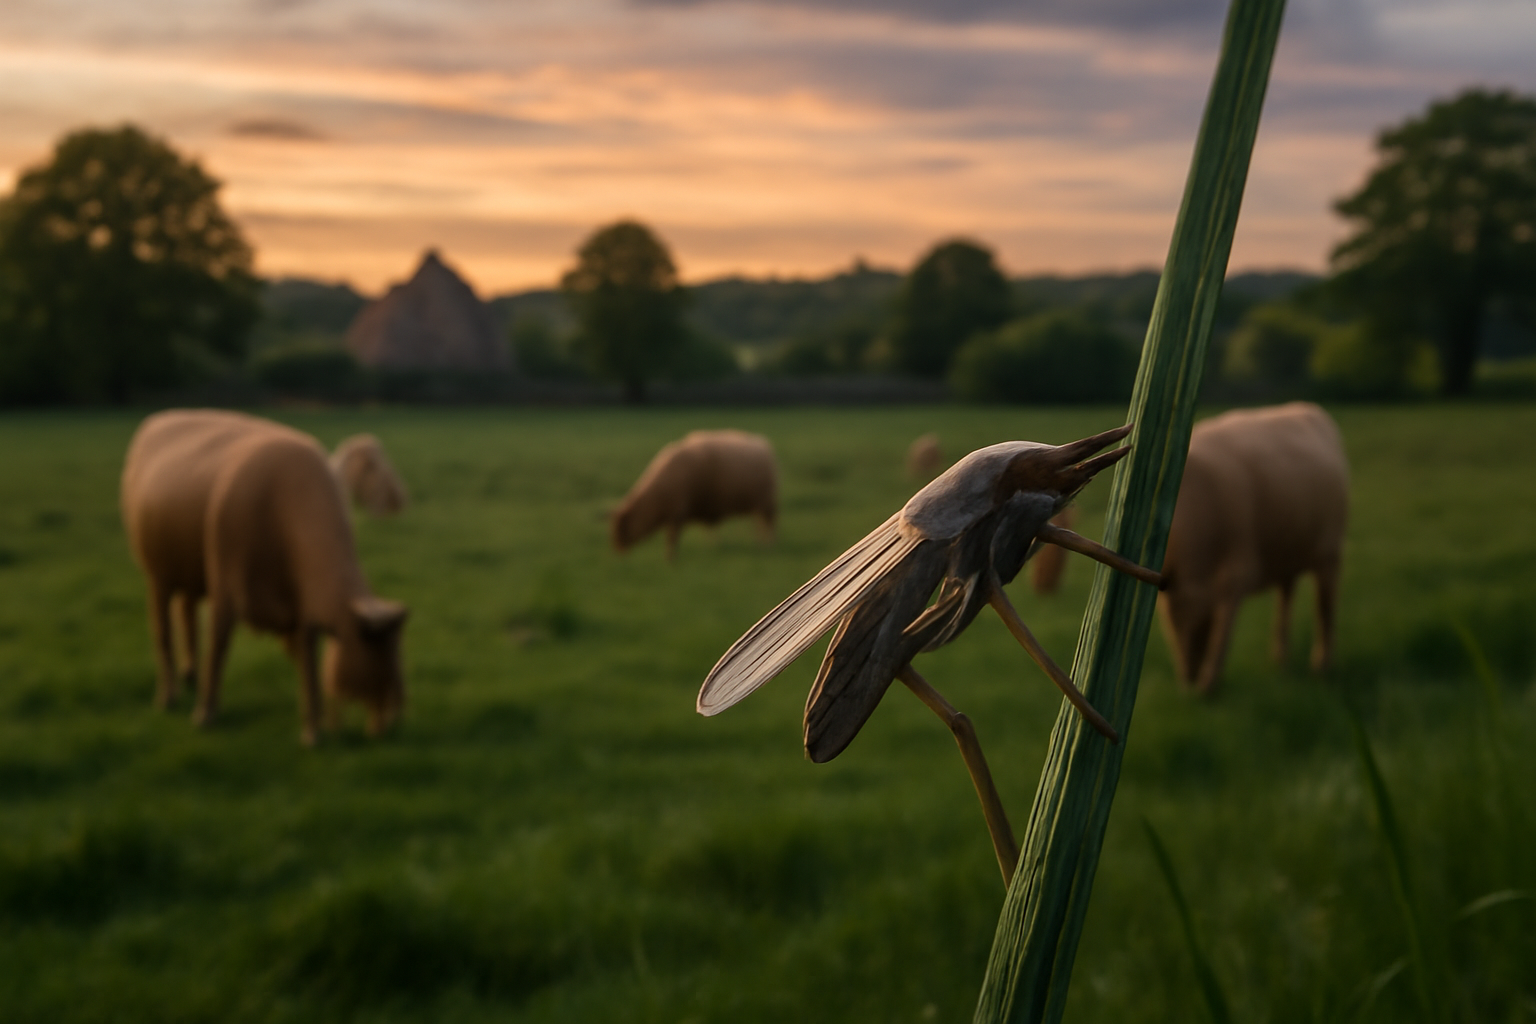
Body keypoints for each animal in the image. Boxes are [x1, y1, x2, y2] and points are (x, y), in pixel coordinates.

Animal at [121, 409, 408, 744]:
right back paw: (168, 696)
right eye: (378, 652)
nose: (394, 722)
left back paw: (190, 675)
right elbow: (218, 648)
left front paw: (314, 731)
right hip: (158, 574)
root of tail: (160, 418)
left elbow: (308, 663)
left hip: (189, 570)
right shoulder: (226, 588)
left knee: (187, 612)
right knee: (162, 631)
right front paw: (205, 715)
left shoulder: (301, 604)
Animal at [611, 430, 778, 560]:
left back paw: (768, 546)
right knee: (760, 524)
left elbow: (672, 540)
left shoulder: (676, 514)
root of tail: (763, 445)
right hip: (759, 506)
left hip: (767, 503)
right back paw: (760, 544)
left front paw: (671, 559)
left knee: (769, 525)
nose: (618, 551)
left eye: (621, 527)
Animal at [1157, 402, 1349, 693]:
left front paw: (1209, 685)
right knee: (1285, 600)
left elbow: (1223, 633)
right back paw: (1280, 662)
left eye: (1195, 622)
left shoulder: (1237, 572)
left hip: (1329, 551)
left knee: (1325, 607)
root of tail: (1306, 407)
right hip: (1287, 551)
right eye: (1168, 624)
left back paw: (1321, 666)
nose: (1188, 678)